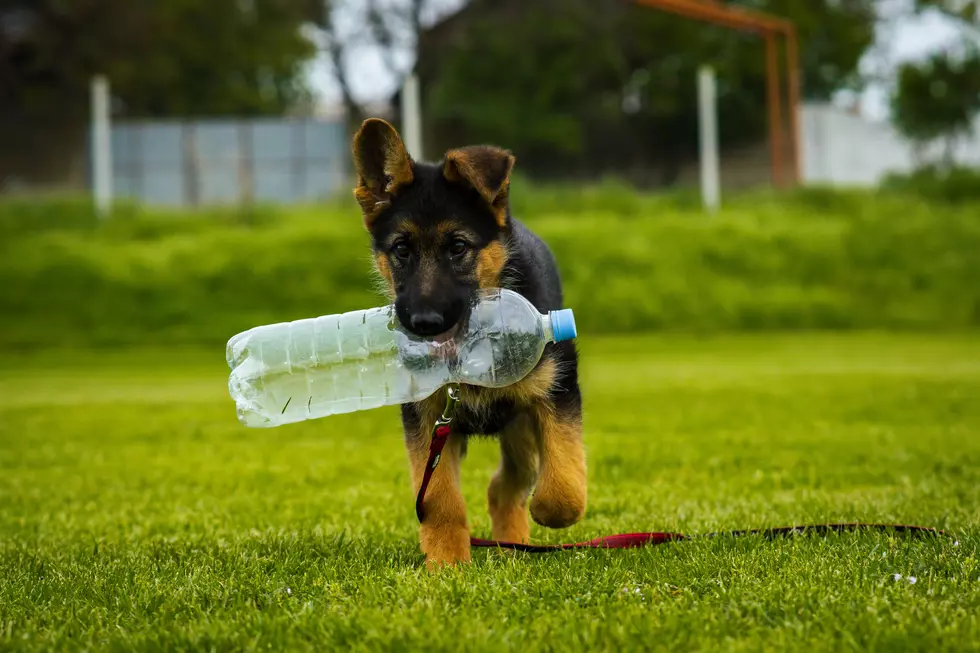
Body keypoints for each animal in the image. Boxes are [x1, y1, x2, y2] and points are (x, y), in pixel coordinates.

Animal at [350, 119, 584, 568]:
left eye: (458, 247)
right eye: (401, 249)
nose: (424, 323)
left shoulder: (556, 390)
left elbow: (563, 490)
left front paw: (545, 510)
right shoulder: (428, 418)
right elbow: (439, 499)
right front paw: (446, 564)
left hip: (520, 427)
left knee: (509, 484)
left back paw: (515, 542)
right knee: (501, 486)